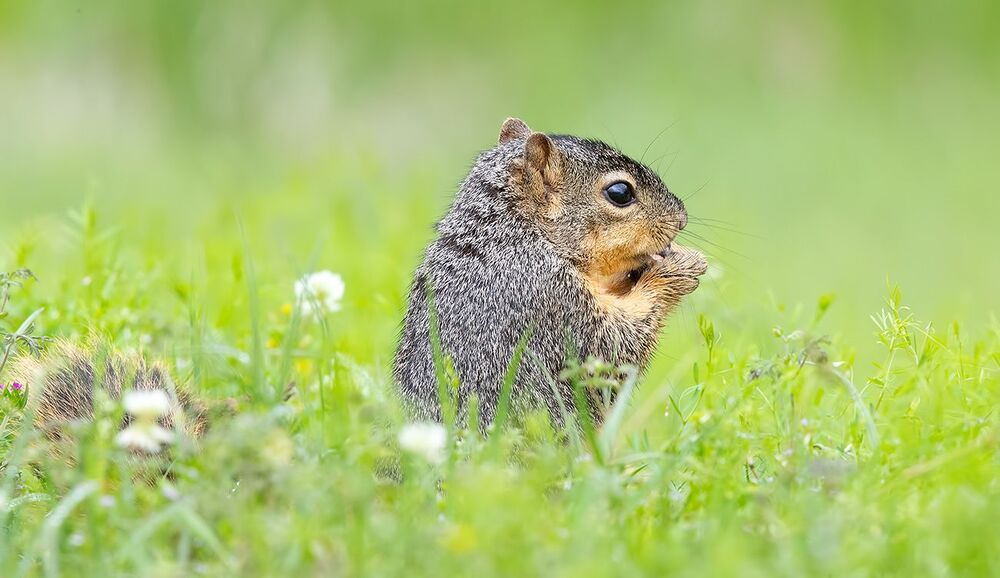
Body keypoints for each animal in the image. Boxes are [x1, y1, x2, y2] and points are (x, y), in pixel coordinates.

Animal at [394, 118, 707, 427]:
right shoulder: (552, 302)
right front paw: (678, 268)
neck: (513, 234)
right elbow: (614, 347)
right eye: (620, 193)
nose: (681, 217)